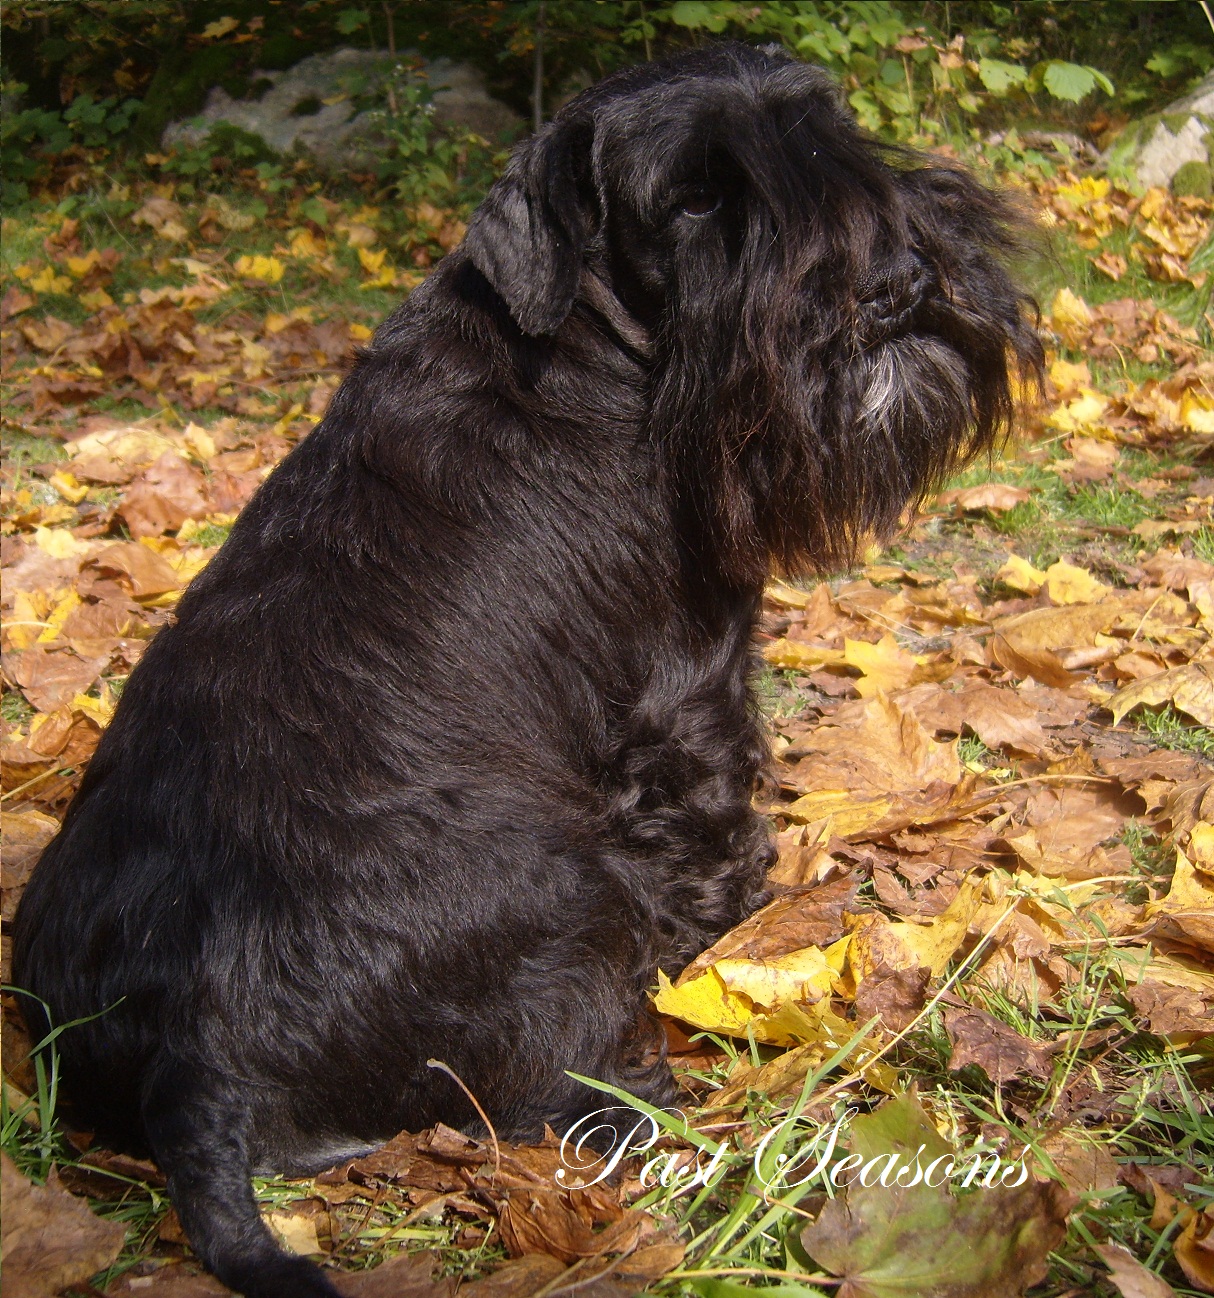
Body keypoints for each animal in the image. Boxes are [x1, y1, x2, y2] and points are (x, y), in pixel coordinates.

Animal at [13, 42, 1041, 1298]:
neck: (596, 347)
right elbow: (711, 840)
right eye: (693, 199)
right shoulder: (686, 697)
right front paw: (753, 923)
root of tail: (192, 1064)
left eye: (822, 128)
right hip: (574, 901)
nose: (894, 280)